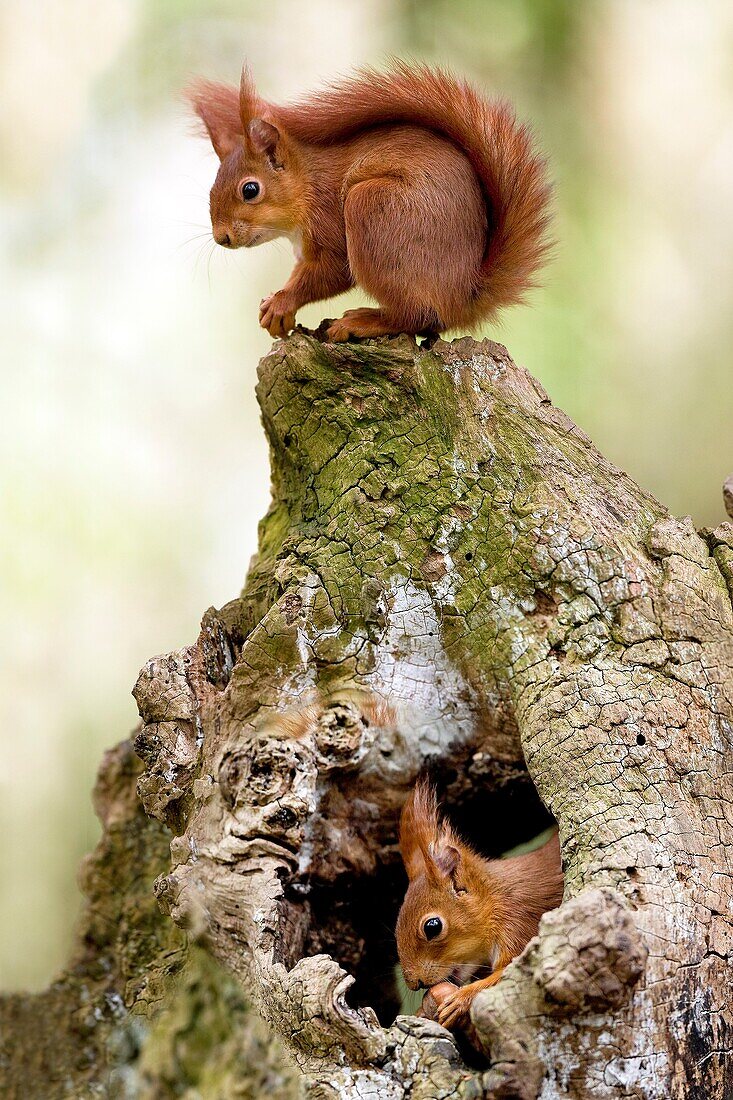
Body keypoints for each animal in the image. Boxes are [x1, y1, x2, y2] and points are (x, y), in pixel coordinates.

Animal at [188, 64, 548, 338]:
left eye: (250, 190)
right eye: (211, 189)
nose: (222, 238)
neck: (307, 186)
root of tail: (464, 299)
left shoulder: (329, 221)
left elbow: (332, 272)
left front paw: (281, 302)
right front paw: (275, 306)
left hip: (373, 209)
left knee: (418, 316)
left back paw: (363, 321)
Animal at [394, 778, 559, 1025]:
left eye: (432, 927)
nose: (415, 983)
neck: (496, 900)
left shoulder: (520, 925)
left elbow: (505, 976)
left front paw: (460, 1000)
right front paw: (422, 1011)